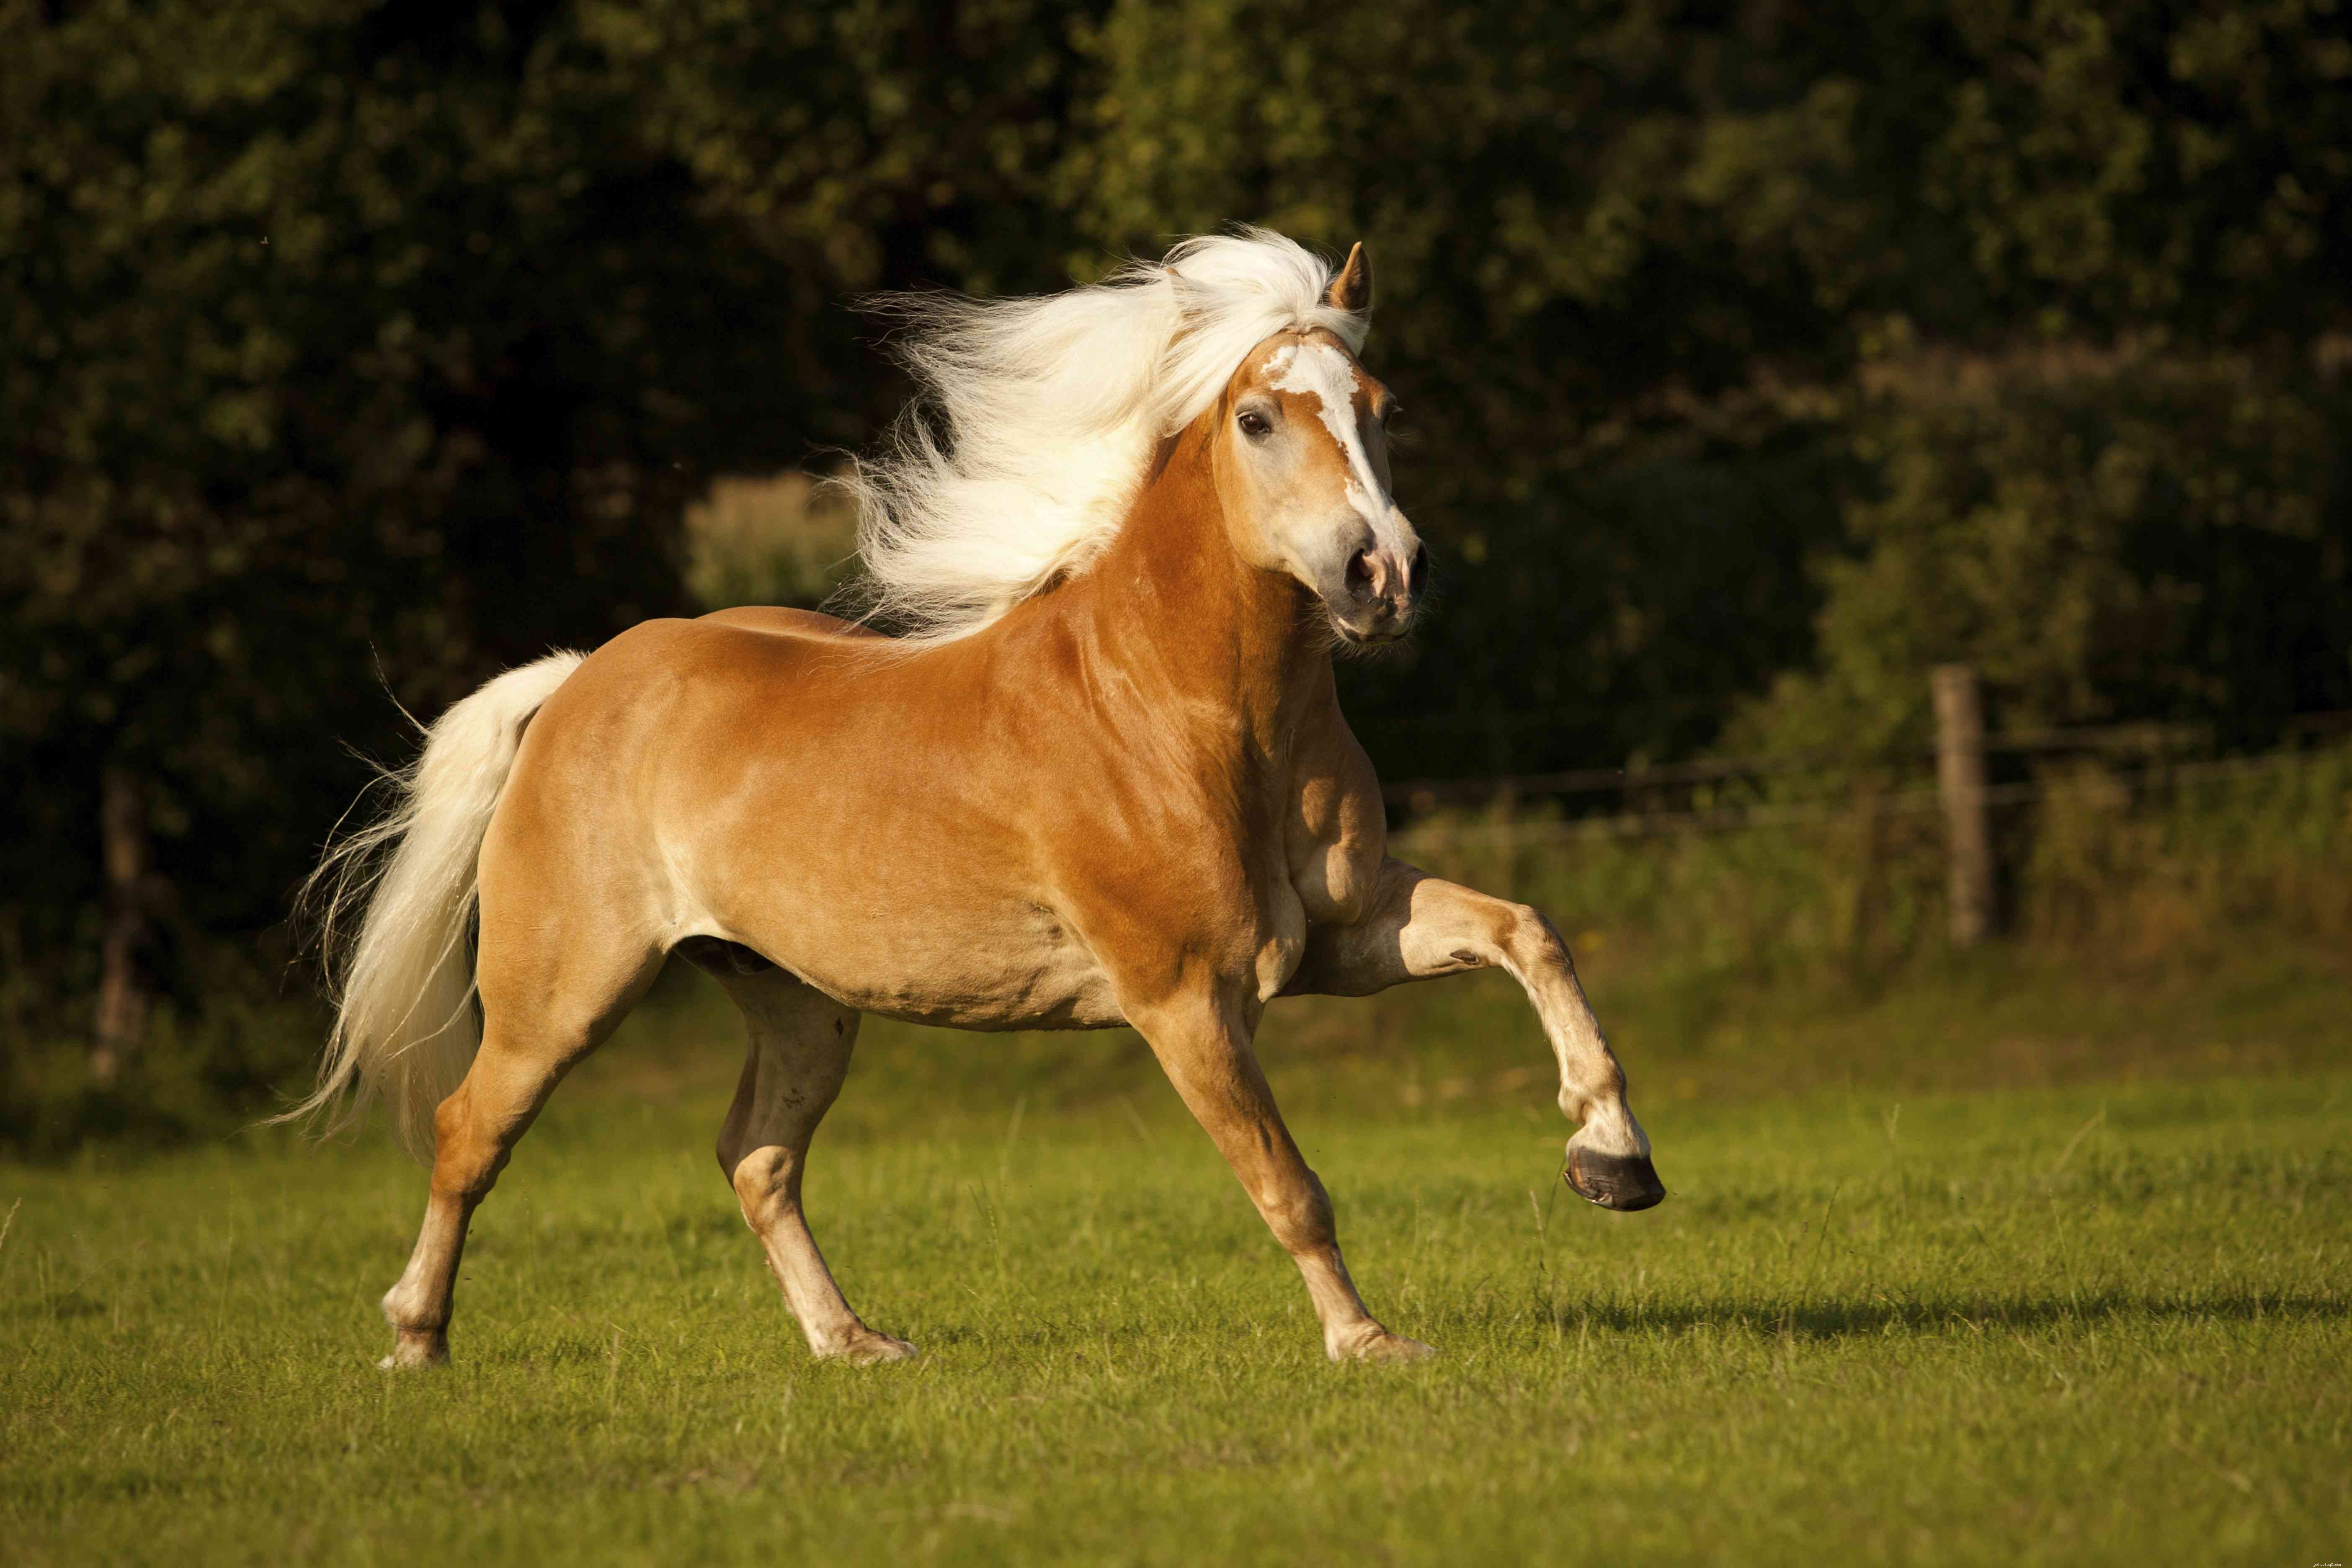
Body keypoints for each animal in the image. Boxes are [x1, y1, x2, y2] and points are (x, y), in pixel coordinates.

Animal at [292, 228, 1665, 1370]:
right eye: (1259, 418)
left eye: (1382, 409)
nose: (1385, 575)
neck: (1182, 709)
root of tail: (581, 681)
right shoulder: (1185, 999)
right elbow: (1289, 1183)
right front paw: (1371, 1344)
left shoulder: (1346, 934)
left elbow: (1527, 931)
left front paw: (1613, 1161)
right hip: (566, 990)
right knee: (470, 1130)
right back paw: (414, 1341)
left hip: (798, 1001)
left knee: (757, 1157)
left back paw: (854, 1344)